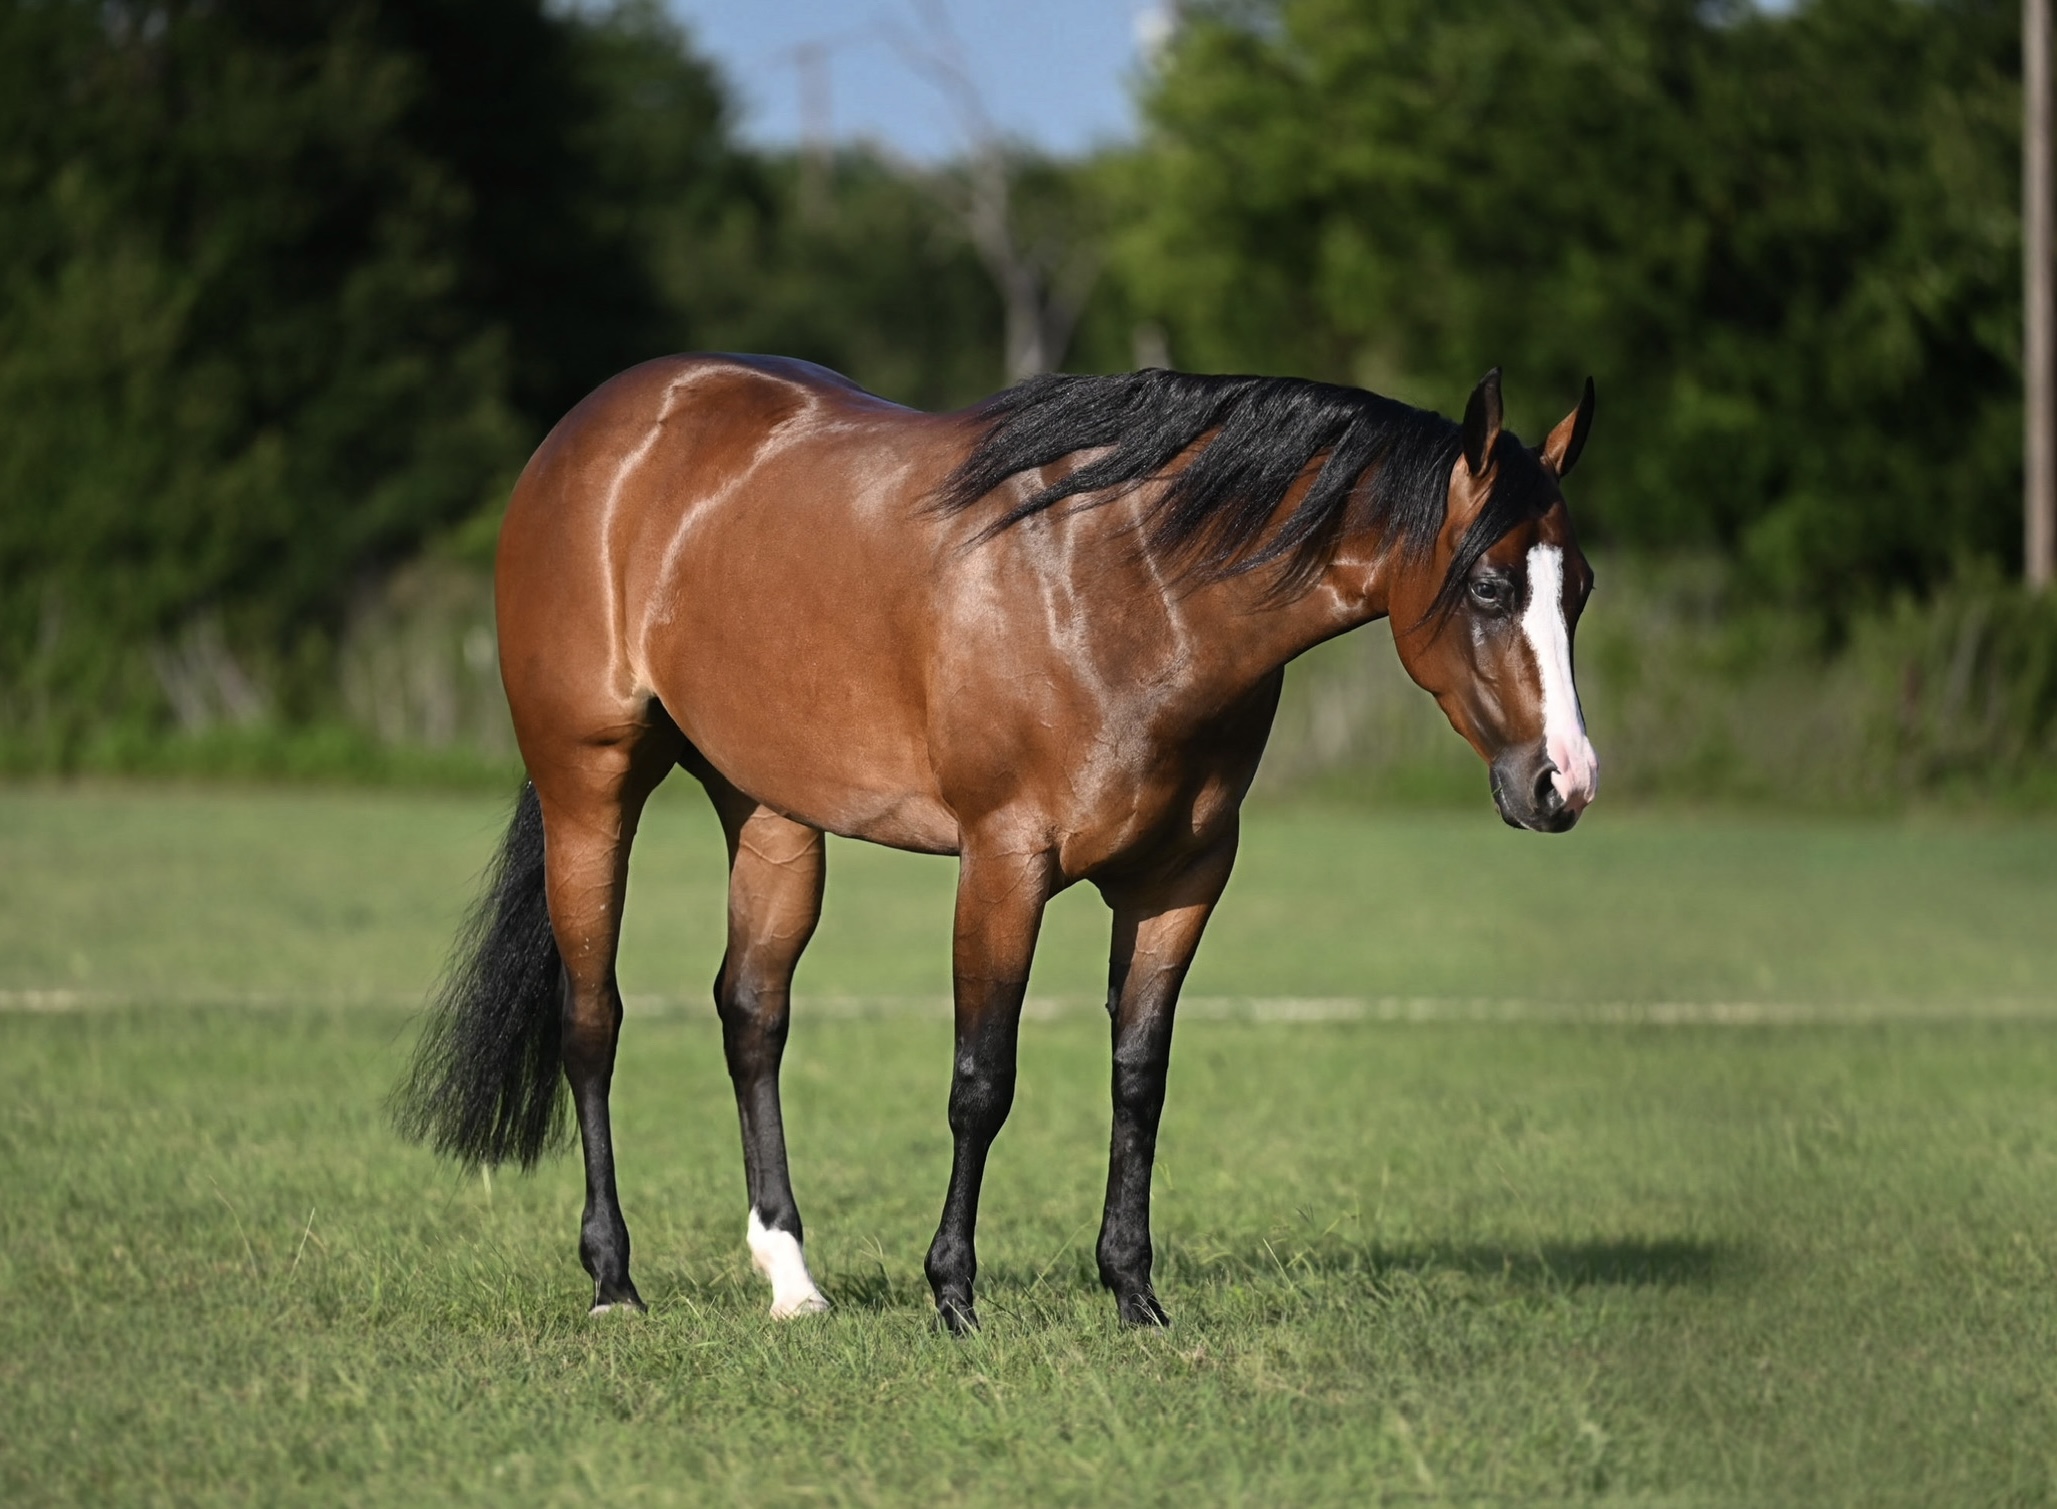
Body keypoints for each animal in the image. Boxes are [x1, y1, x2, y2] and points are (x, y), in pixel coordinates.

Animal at [394, 356, 1599, 1333]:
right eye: (1489, 583)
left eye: (1577, 588)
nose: (1565, 784)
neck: (1129, 587)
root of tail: (601, 426)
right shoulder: (1003, 866)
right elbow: (983, 1079)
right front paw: (954, 1296)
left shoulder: (1179, 881)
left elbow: (1138, 1079)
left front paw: (1132, 1293)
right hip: (589, 789)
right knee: (591, 1021)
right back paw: (613, 1281)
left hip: (772, 816)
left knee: (751, 1015)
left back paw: (793, 1281)